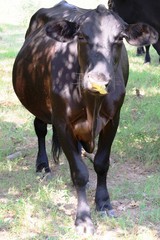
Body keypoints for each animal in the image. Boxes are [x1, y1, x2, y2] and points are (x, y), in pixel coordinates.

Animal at [12, 1, 158, 234]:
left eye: (119, 38)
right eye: (80, 36)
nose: (97, 80)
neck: (92, 104)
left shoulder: (113, 121)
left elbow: (101, 163)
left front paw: (104, 203)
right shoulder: (62, 123)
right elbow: (79, 173)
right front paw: (83, 218)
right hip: (37, 102)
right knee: (40, 128)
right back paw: (42, 165)